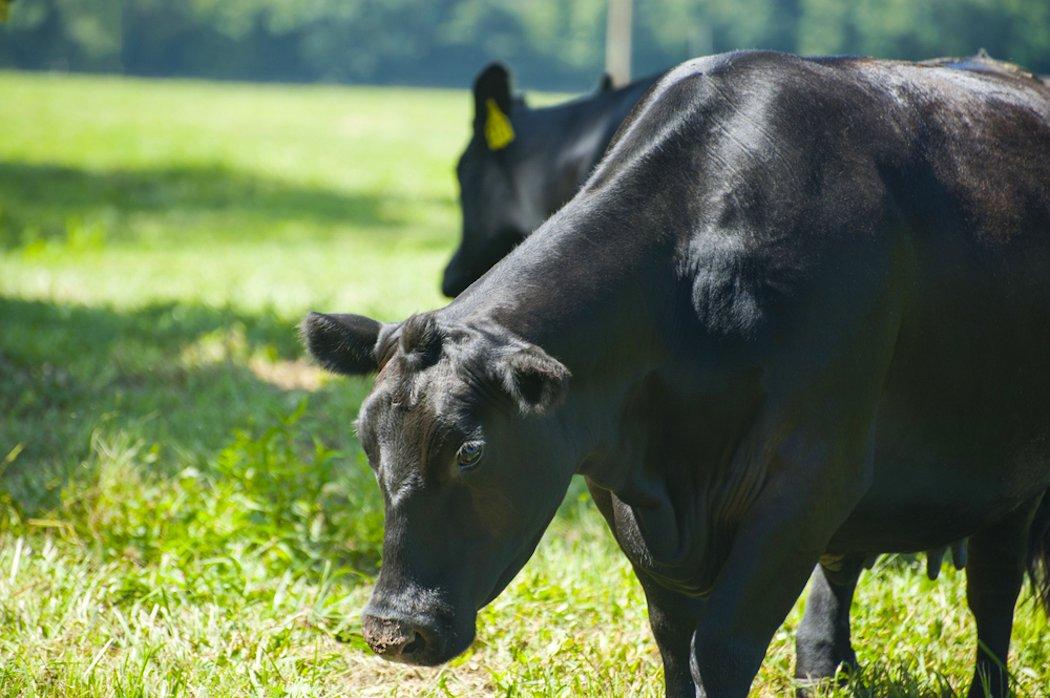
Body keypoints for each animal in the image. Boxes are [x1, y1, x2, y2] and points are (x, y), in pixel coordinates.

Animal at [306, 54, 1050, 696]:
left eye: (470, 452)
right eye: (369, 446)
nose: (393, 631)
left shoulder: (812, 476)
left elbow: (720, 646)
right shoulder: (620, 489)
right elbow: (671, 637)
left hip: (1013, 478)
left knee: (993, 590)